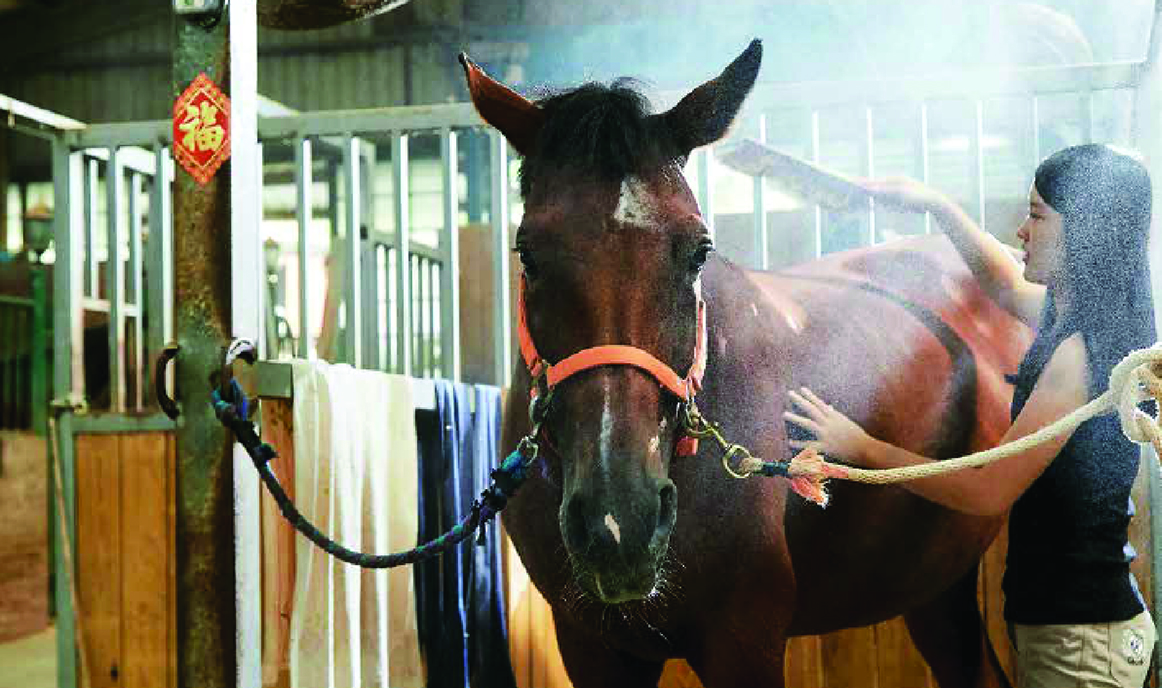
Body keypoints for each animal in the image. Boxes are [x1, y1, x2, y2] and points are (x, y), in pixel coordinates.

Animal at [461, 40, 1030, 687]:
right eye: (527, 253)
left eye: (698, 250)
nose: (619, 522)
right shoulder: (591, 645)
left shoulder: (744, 638)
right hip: (935, 586)